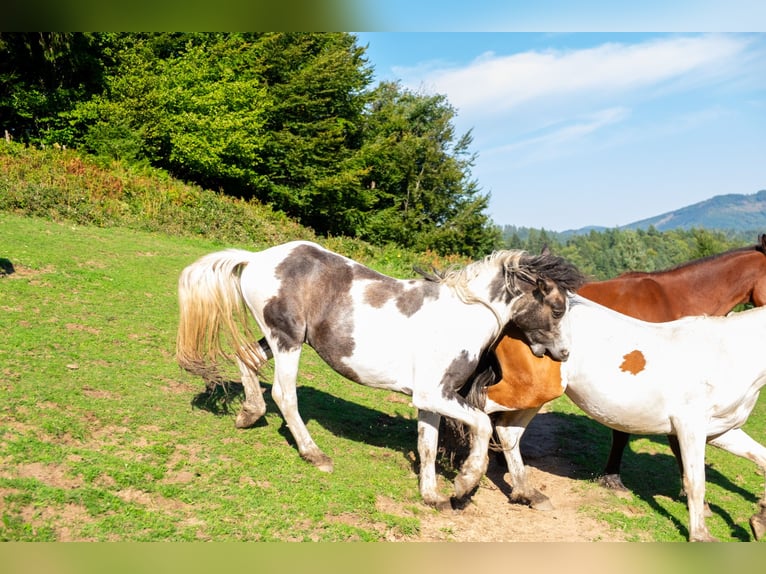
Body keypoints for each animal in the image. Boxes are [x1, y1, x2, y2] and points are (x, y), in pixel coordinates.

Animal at [175, 240, 584, 508]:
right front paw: (464, 485)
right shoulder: (435, 394)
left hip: (280, 338)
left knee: (245, 359)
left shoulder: (431, 400)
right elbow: (483, 425)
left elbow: (427, 444)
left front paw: (432, 496)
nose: (564, 353)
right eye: (558, 308)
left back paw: (248, 414)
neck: (462, 316)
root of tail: (257, 257)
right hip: (287, 341)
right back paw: (315, 455)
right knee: (284, 395)